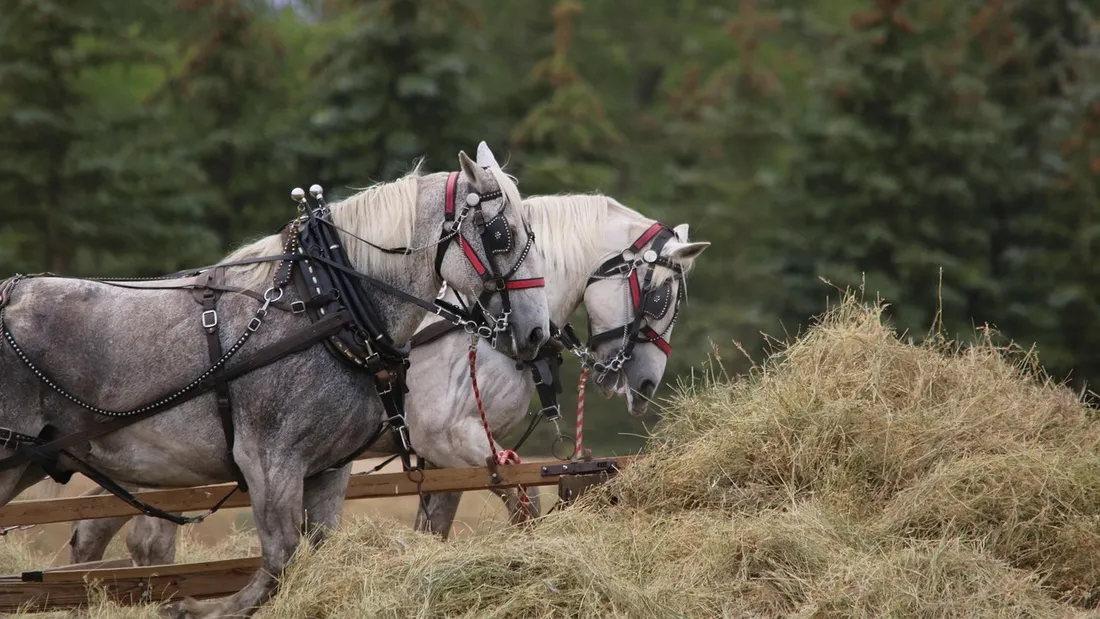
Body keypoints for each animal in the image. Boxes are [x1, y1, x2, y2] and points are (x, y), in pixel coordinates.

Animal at [0, 144, 550, 618]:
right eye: (503, 234)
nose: (537, 331)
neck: (326, 307)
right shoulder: (270, 460)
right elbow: (280, 561)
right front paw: (193, 607)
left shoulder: (328, 470)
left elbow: (315, 553)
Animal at [67, 192, 710, 564]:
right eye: (660, 296)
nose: (645, 386)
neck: (477, 319)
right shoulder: (451, 438)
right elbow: (523, 504)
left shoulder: (448, 460)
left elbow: (439, 527)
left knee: (113, 533)